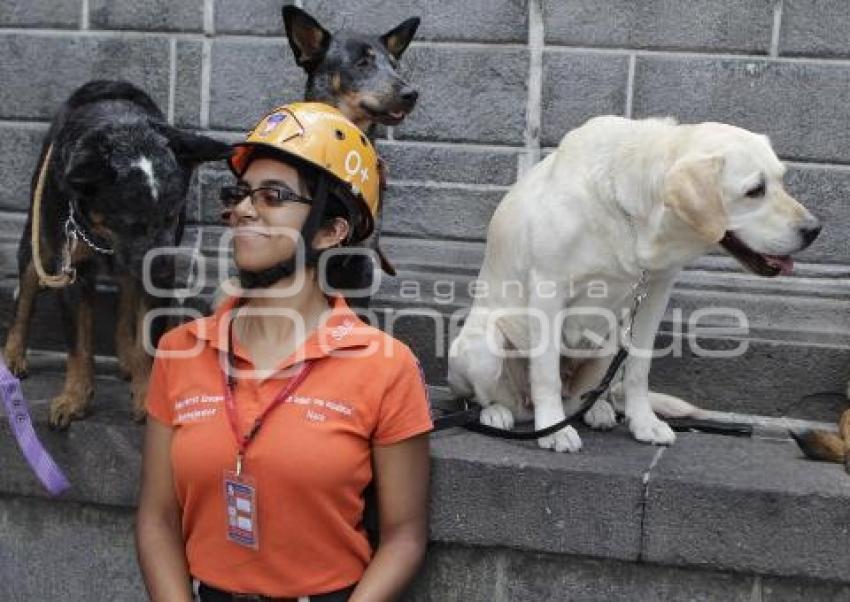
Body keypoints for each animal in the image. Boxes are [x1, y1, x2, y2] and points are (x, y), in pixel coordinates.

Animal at [1, 79, 230, 426]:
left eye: (172, 216)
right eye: (130, 223)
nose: (164, 270)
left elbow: (148, 338)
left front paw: (146, 393)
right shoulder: (72, 267)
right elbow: (79, 344)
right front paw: (74, 398)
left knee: (127, 296)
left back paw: (128, 357)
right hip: (38, 236)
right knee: (25, 292)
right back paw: (13, 354)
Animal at [448, 116, 820, 450]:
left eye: (782, 180)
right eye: (755, 191)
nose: (814, 229)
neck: (633, 212)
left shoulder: (655, 292)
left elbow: (639, 370)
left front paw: (643, 423)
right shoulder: (548, 288)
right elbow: (546, 373)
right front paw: (553, 429)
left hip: (610, 343)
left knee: (588, 395)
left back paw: (598, 410)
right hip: (483, 346)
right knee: (492, 396)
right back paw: (498, 414)